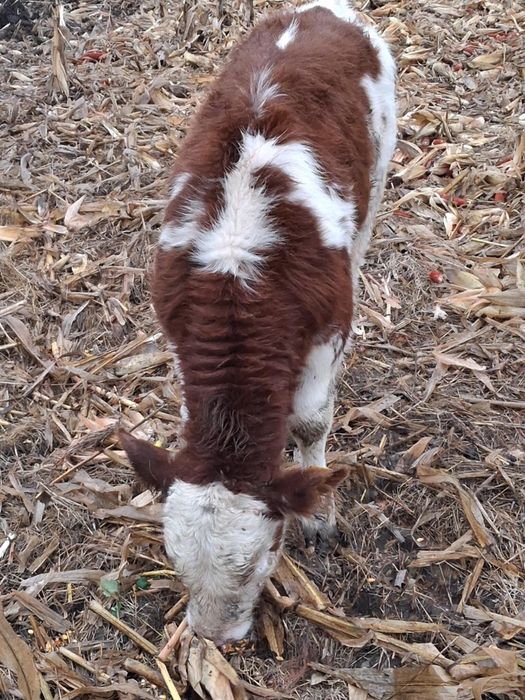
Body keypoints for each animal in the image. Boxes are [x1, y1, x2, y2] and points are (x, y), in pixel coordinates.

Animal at [119, 0, 396, 645]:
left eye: (265, 555)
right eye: (173, 558)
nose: (214, 637)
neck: (237, 275)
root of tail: (322, 11)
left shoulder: (328, 325)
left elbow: (311, 420)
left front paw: (320, 512)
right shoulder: (177, 328)